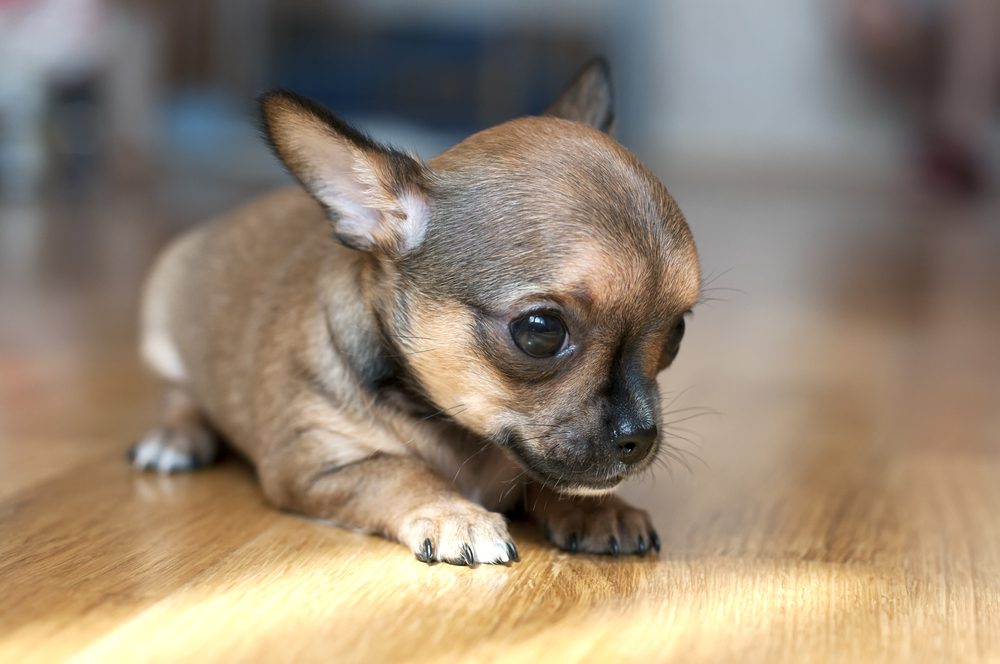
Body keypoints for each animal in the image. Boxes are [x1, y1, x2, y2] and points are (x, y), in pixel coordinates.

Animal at [133, 61, 700, 564]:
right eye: (540, 332)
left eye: (676, 334)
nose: (640, 437)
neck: (460, 432)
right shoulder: (317, 465)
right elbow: (400, 472)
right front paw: (454, 513)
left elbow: (554, 481)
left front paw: (601, 510)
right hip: (164, 333)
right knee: (179, 395)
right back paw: (173, 437)